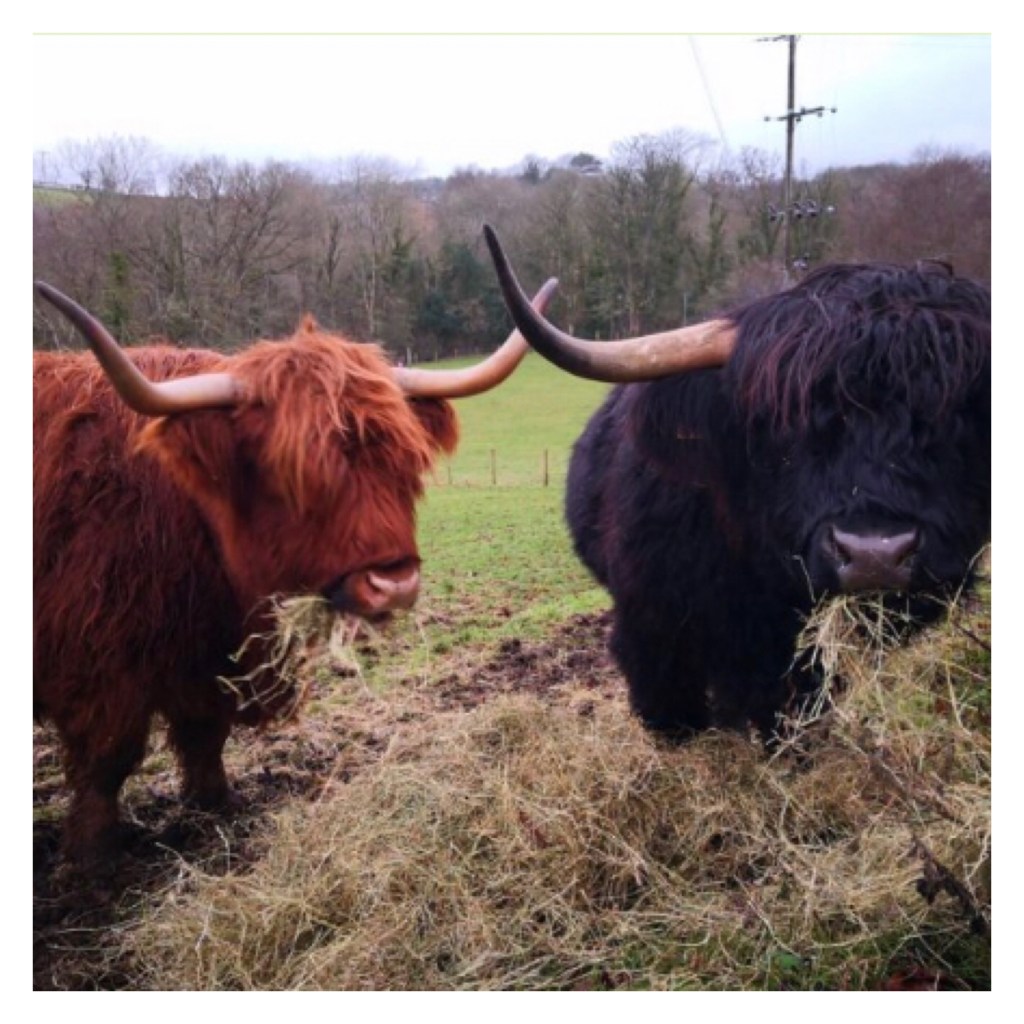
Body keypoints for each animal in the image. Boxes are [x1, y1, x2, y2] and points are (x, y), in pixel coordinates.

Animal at [33, 277, 556, 870]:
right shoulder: (97, 665)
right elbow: (108, 762)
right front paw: (91, 864)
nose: (394, 584)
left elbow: (205, 736)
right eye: (297, 474)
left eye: (406, 464)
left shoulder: (206, 656)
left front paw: (216, 812)